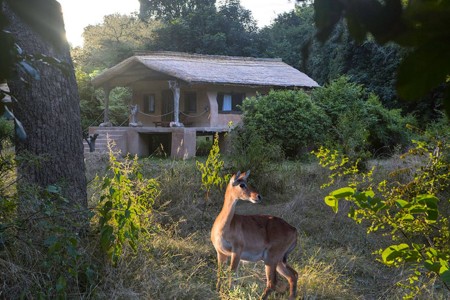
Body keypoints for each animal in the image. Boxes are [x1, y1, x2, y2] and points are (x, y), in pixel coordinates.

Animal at [211, 170, 298, 298]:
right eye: (242, 184)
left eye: (247, 182)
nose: (258, 196)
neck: (225, 226)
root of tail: (294, 230)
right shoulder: (221, 253)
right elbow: (220, 274)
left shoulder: (237, 252)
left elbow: (232, 273)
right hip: (278, 261)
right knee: (293, 275)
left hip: (271, 260)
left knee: (272, 283)